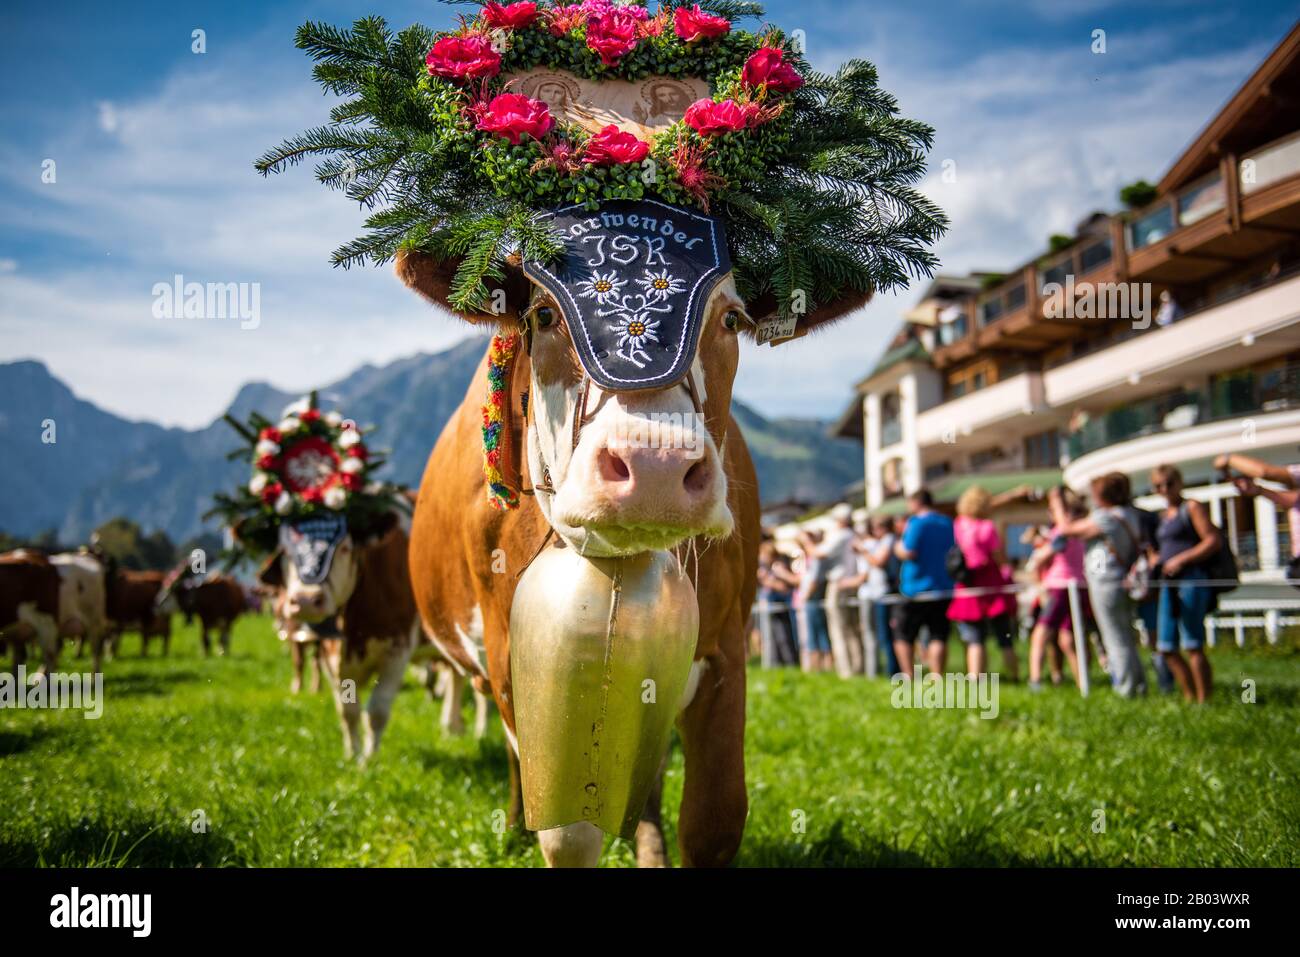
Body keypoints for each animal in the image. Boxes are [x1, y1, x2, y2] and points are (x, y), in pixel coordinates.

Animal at [395, 223, 863, 868]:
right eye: (544, 314)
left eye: (731, 319)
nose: (654, 467)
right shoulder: (516, 655)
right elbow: (569, 832)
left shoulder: (725, 648)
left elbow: (714, 819)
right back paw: (513, 826)